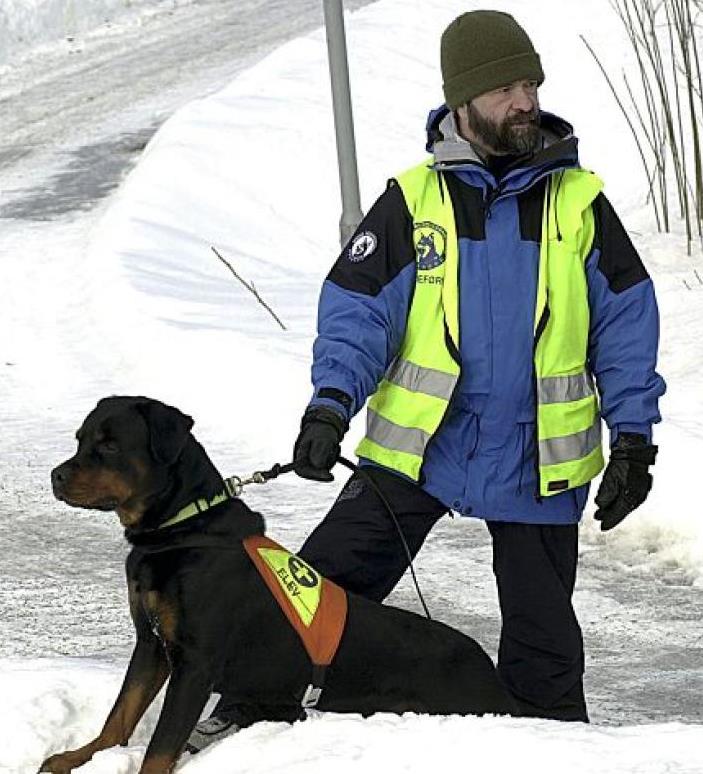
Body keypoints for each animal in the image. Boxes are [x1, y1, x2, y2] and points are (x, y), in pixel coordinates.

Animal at [41, 398, 516, 772]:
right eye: (80, 438)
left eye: (109, 445)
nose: (56, 475)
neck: (183, 529)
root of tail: (491, 672)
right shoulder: (152, 643)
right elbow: (119, 714)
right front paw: (77, 758)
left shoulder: (195, 663)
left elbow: (160, 746)